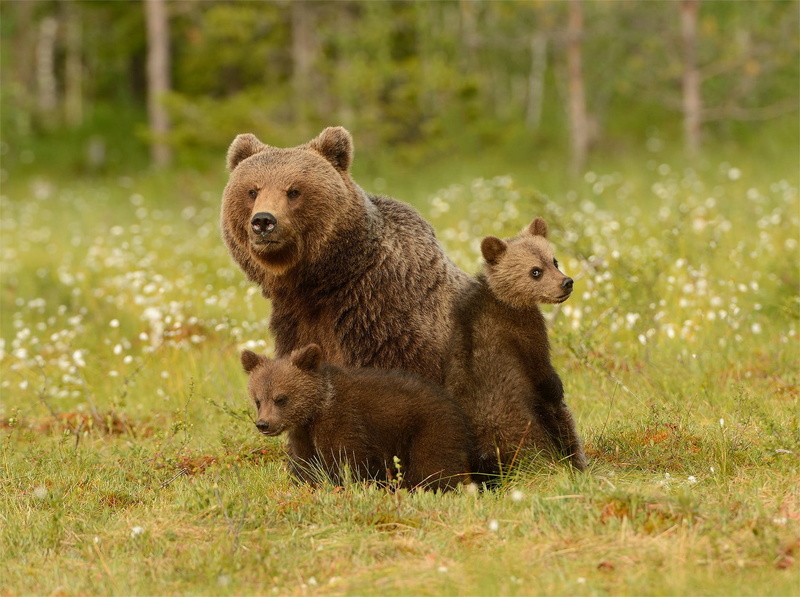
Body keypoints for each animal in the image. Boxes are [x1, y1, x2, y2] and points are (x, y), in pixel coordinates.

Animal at [241, 344, 474, 491]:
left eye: (281, 398)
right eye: (258, 400)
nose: (263, 424)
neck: (317, 408)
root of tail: (452, 403)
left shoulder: (343, 419)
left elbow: (345, 458)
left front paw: (344, 485)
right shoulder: (303, 433)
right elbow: (306, 463)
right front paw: (306, 485)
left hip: (429, 427)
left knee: (433, 464)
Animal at [445, 217, 587, 477]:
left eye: (554, 260)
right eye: (535, 271)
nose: (567, 282)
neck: (505, 300)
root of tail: (487, 456)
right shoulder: (526, 333)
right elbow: (545, 374)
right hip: (520, 429)